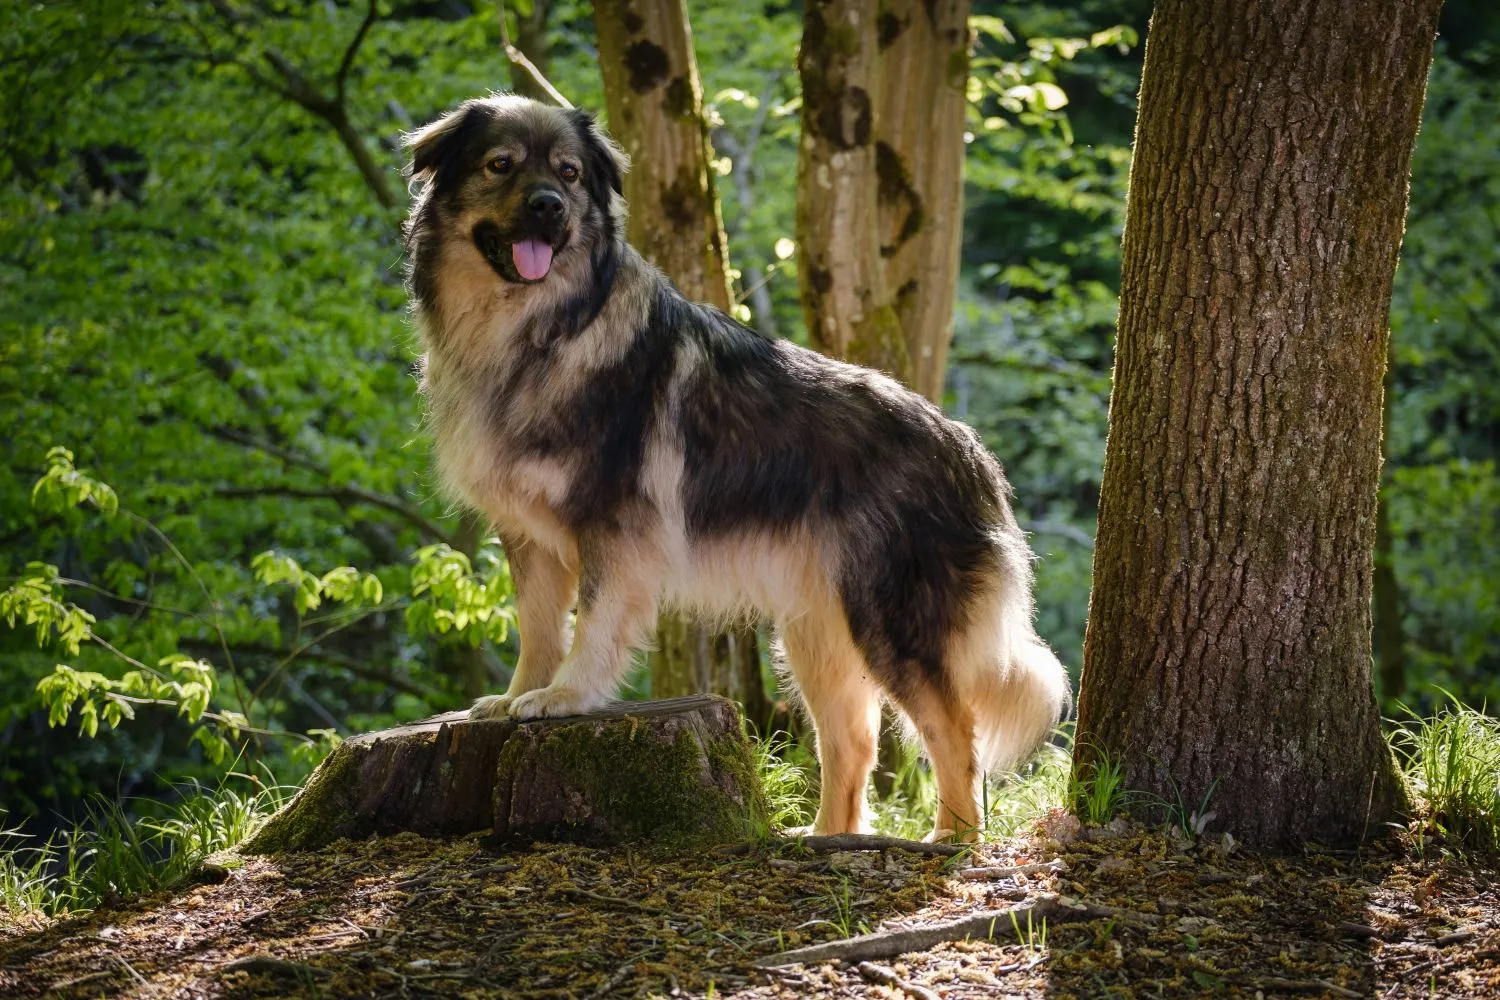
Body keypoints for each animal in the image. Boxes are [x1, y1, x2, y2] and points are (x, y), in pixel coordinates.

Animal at [405, 95, 1074, 845]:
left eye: (570, 173)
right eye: (502, 165)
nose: (549, 207)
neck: (539, 329)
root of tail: (969, 450)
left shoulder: (613, 531)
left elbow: (594, 625)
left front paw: (567, 696)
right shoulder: (529, 537)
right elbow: (540, 628)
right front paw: (519, 695)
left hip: (890, 620)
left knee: (954, 730)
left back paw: (951, 840)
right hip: (817, 632)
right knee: (853, 742)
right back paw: (826, 837)